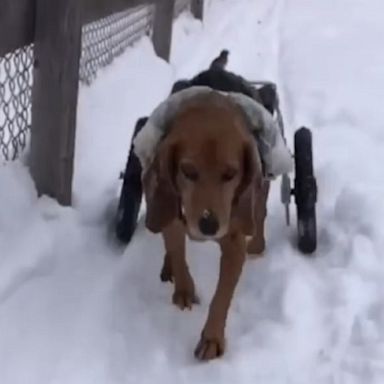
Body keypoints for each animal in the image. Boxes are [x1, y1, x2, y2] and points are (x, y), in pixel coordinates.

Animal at [142, 92, 270, 360]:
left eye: (230, 174)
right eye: (188, 171)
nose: (208, 224)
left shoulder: (234, 243)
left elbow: (221, 296)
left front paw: (212, 338)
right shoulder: (174, 220)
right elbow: (178, 253)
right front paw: (184, 290)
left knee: (260, 214)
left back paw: (258, 244)